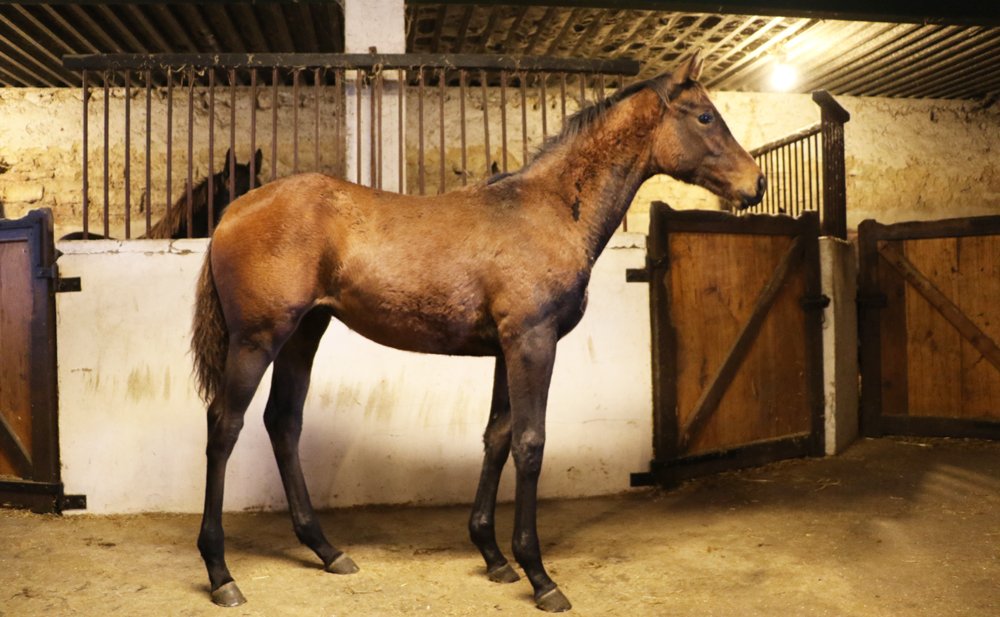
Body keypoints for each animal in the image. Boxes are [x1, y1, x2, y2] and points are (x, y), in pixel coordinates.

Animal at [190, 51, 765, 613]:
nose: (755, 184)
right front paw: (539, 575)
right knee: (224, 425)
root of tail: (232, 210)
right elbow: (530, 442)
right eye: (705, 116)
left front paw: (493, 556)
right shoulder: (533, 342)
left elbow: (497, 436)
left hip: (304, 334)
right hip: (257, 339)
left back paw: (328, 551)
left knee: (283, 422)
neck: (551, 210)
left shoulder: (505, 351)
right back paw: (221, 574)